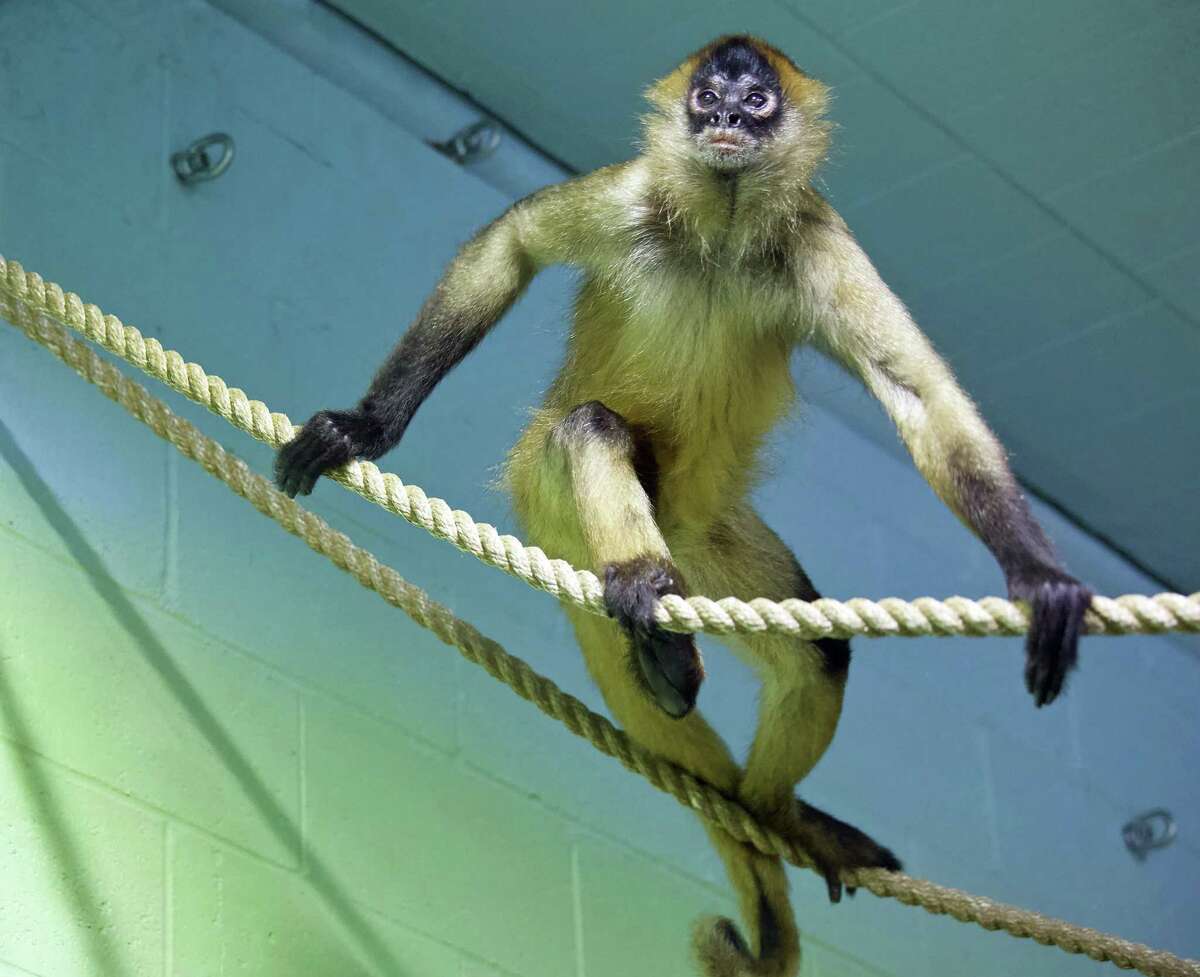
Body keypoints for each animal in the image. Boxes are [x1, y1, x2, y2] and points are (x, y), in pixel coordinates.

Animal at [274, 36, 1093, 977]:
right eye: (708, 97)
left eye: (756, 101)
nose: (728, 117)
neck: (723, 235)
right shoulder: (638, 195)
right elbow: (511, 245)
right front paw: (367, 426)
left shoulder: (816, 237)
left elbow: (919, 397)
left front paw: (1036, 572)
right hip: (552, 490)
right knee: (588, 426)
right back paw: (645, 600)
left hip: (705, 536)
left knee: (819, 652)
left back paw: (772, 809)